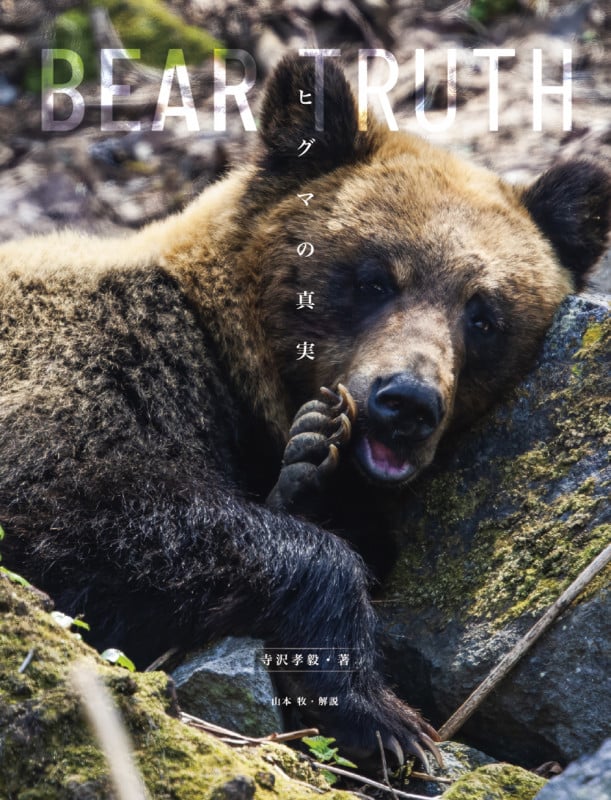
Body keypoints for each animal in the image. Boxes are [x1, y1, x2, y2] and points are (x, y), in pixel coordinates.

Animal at [0, 55, 609, 767]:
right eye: (375, 278)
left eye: (483, 315)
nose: (407, 402)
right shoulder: (99, 362)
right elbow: (86, 502)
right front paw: (385, 715)